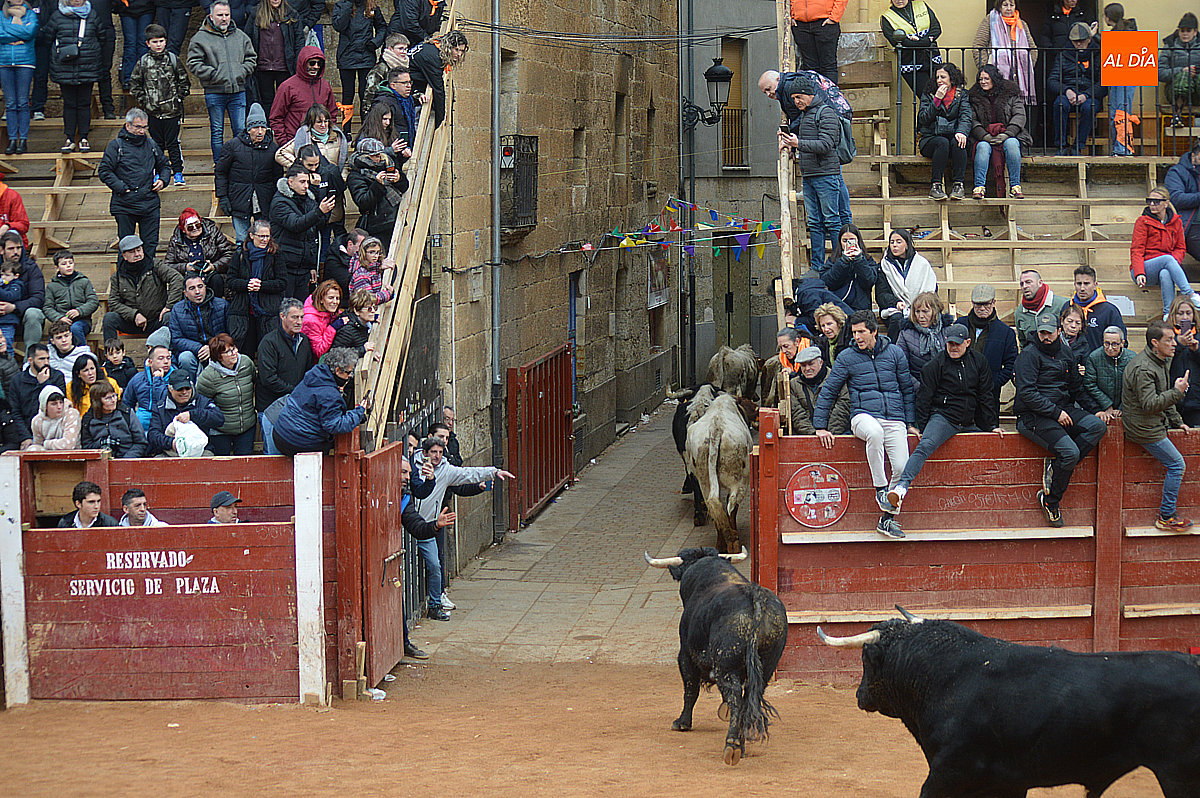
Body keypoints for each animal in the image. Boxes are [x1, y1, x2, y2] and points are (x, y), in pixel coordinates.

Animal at [645, 546, 787, 766]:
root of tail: (754, 597)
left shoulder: (685, 654)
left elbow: (690, 689)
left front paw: (682, 723)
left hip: (726, 666)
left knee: (735, 696)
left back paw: (732, 745)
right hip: (766, 667)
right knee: (748, 698)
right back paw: (741, 745)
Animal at [685, 393, 753, 553]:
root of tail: (716, 428)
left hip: (704, 479)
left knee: (714, 503)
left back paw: (721, 544)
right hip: (739, 479)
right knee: (731, 504)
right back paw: (733, 542)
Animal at [819, 606, 1200, 797]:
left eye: (866, 657)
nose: (859, 695)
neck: (947, 676)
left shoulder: (947, 774)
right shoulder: (1007, 783)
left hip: (1179, 776)